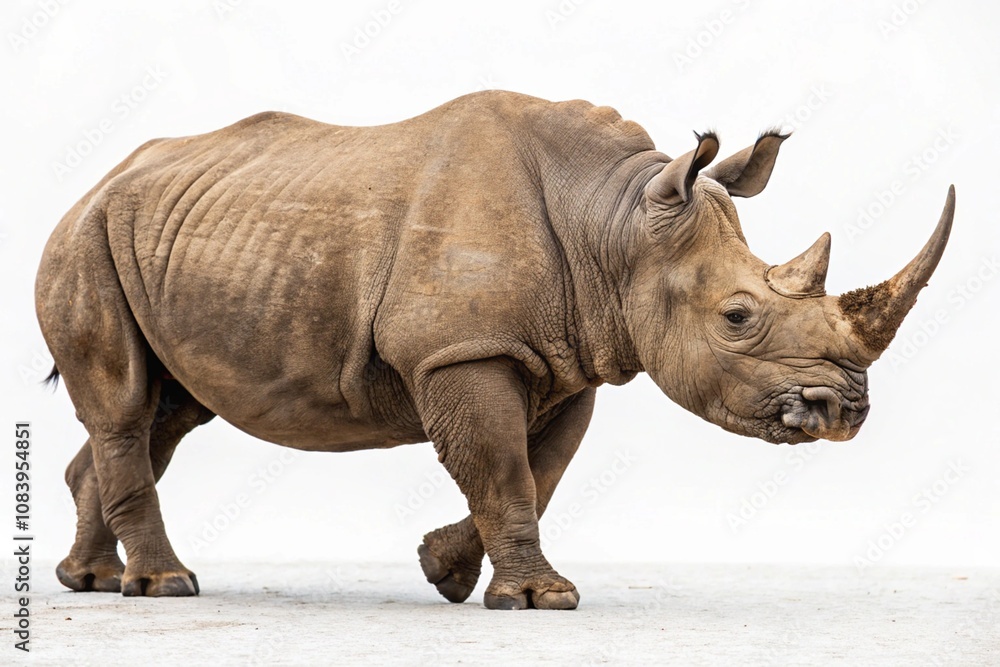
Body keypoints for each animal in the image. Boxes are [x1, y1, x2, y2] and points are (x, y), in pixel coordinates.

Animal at [35, 90, 954, 610]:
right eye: (737, 316)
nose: (845, 410)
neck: (615, 224)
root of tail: (93, 183)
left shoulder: (569, 356)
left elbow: (538, 472)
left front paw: (445, 573)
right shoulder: (461, 350)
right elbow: (505, 466)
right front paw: (541, 598)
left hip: (166, 241)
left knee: (170, 411)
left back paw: (93, 582)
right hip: (84, 240)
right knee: (126, 403)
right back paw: (166, 587)